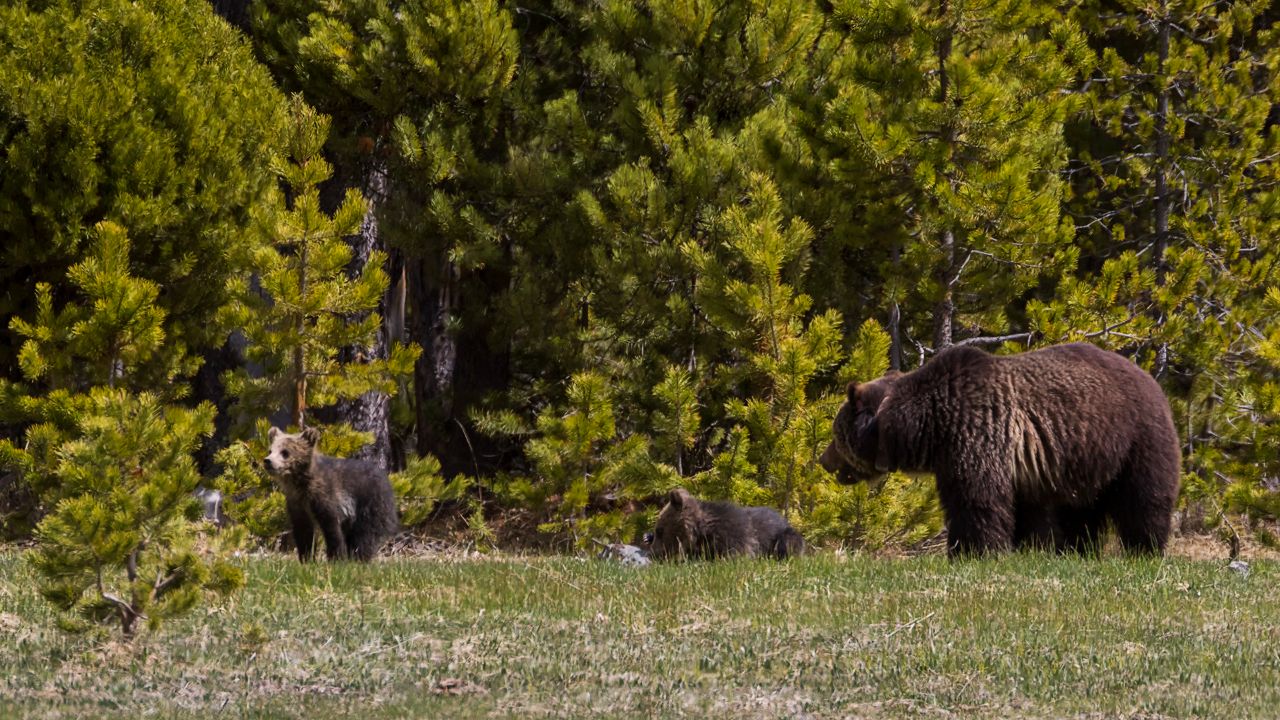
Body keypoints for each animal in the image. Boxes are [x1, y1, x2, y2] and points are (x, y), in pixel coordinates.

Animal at [263, 426, 399, 562]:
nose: (267, 461)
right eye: (270, 450)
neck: (301, 484)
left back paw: (359, 558)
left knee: (364, 535)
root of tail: (386, 479)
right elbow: (303, 531)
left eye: (285, 452)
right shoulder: (297, 503)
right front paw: (307, 558)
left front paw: (336, 558)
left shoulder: (326, 498)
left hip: (369, 504)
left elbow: (331, 529)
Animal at [643, 488, 805, 560]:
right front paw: (646, 537)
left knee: (787, 544)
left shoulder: (733, 535)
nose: (653, 554)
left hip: (783, 536)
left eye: (660, 530)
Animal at [820, 342, 1181, 557]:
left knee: (1143, 498)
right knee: (1080, 509)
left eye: (836, 435)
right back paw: (1078, 549)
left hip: (1136, 438)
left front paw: (970, 551)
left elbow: (976, 501)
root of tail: (1150, 377)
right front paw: (1022, 548)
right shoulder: (1021, 463)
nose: (824, 460)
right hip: (1087, 456)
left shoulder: (976, 434)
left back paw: (1145, 548)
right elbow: (1023, 510)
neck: (930, 424)